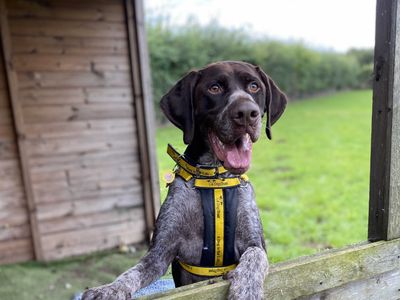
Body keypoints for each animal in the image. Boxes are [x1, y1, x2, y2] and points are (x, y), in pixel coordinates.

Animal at [82, 61, 288, 300]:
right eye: (214, 88)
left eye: (254, 86)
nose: (246, 113)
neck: (215, 181)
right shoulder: (159, 254)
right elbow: (130, 273)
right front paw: (108, 289)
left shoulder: (255, 242)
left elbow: (255, 256)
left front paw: (247, 290)